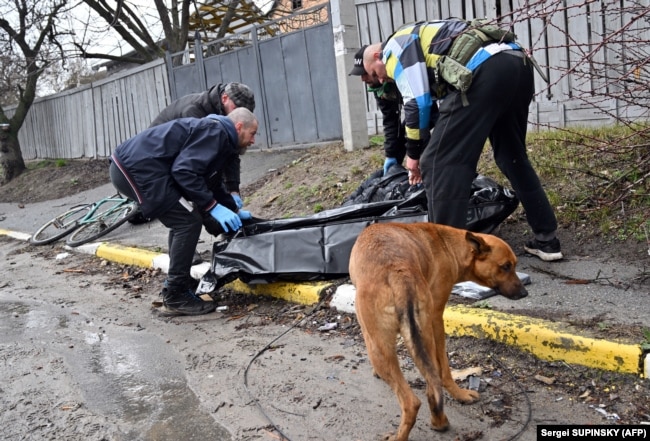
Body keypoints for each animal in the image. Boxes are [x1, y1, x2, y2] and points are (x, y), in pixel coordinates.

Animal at [350, 223, 528, 440]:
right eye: (506, 266)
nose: (524, 294)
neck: (449, 246)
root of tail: (399, 272)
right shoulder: (434, 319)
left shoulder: (435, 318)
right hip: (422, 337)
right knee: (432, 386)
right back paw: (440, 420)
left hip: (379, 347)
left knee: (412, 401)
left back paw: (400, 435)